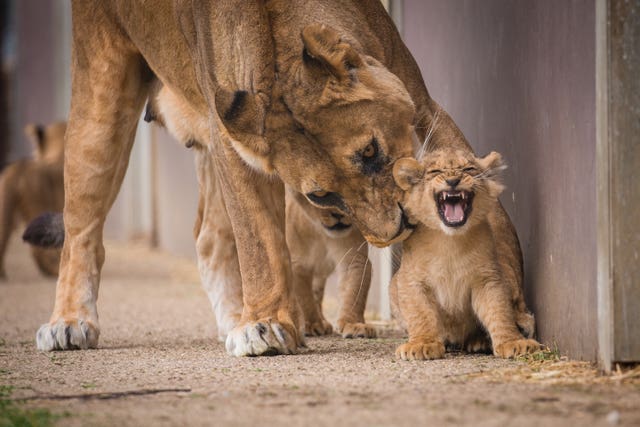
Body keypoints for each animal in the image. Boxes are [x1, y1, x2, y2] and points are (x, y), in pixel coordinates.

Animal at [32, 0, 516, 358]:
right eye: (321, 194)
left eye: (371, 152)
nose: (394, 232)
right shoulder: (233, 148)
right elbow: (260, 243)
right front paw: (264, 327)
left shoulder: (423, 102)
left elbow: (496, 217)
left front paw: (508, 312)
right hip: (101, 96)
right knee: (81, 230)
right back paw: (69, 324)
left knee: (208, 237)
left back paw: (233, 320)